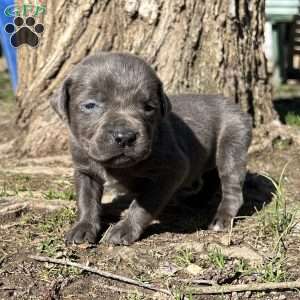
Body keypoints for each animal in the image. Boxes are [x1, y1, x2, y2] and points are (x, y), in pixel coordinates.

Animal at [50, 51, 252, 245]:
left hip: (232, 143)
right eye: (90, 105)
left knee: (231, 186)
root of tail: (236, 106)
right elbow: (86, 201)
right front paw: (83, 227)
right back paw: (196, 199)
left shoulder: (172, 170)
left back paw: (221, 219)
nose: (125, 136)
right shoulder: (84, 170)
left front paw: (124, 229)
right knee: (211, 178)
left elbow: (144, 203)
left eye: (148, 107)